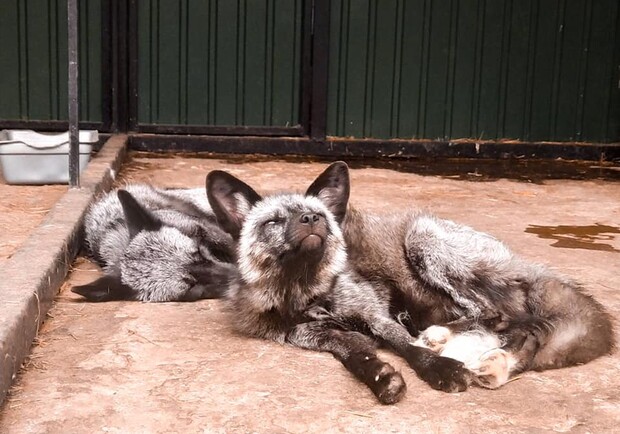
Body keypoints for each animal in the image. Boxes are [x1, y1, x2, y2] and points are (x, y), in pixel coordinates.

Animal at [206, 162, 612, 404]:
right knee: (518, 330)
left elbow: (405, 346)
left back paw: (448, 340)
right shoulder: (313, 337)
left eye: (319, 215)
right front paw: (381, 376)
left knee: (498, 317)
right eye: (273, 221)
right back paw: (490, 361)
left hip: (422, 239)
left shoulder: (376, 315)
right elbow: (356, 356)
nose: (311, 219)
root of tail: (526, 264)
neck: (308, 294)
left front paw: (441, 368)